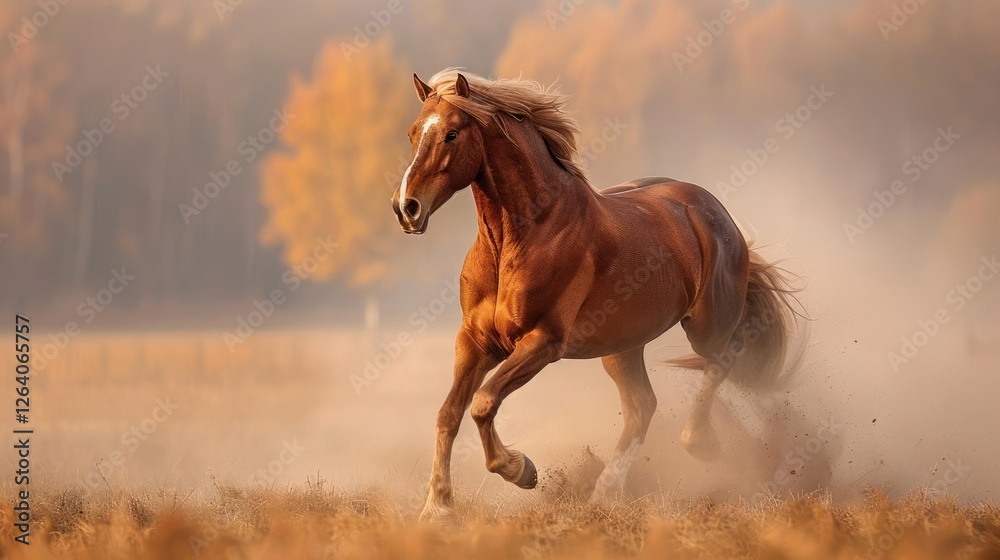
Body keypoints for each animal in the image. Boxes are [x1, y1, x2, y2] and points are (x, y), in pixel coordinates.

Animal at [390, 69, 802, 523]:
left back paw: (703, 444)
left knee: (721, 363)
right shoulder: (475, 342)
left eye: (451, 133)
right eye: (413, 133)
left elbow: (483, 402)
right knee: (642, 406)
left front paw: (522, 471)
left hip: (706, 328)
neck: (524, 234)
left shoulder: (543, 342)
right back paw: (605, 493)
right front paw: (437, 508)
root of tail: (714, 212)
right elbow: (448, 414)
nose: (406, 208)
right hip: (622, 347)